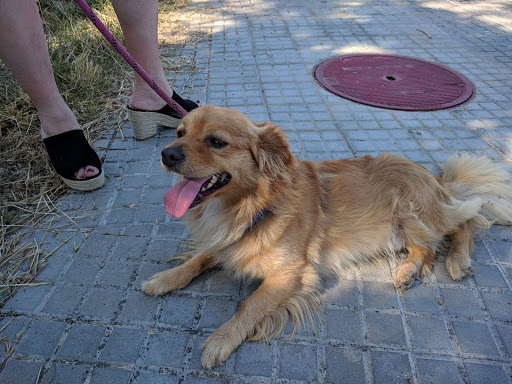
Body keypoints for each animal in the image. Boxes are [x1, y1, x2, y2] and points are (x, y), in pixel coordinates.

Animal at [142, 103, 512, 368]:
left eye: (216, 141)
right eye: (179, 132)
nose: (166, 154)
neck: (253, 208)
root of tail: (435, 179)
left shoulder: (291, 274)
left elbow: (250, 304)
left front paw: (221, 339)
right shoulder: (226, 242)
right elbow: (199, 258)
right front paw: (165, 278)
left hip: (416, 213)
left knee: (467, 220)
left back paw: (457, 260)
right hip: (402, 228)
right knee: (427, 249)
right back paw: (407, 271)